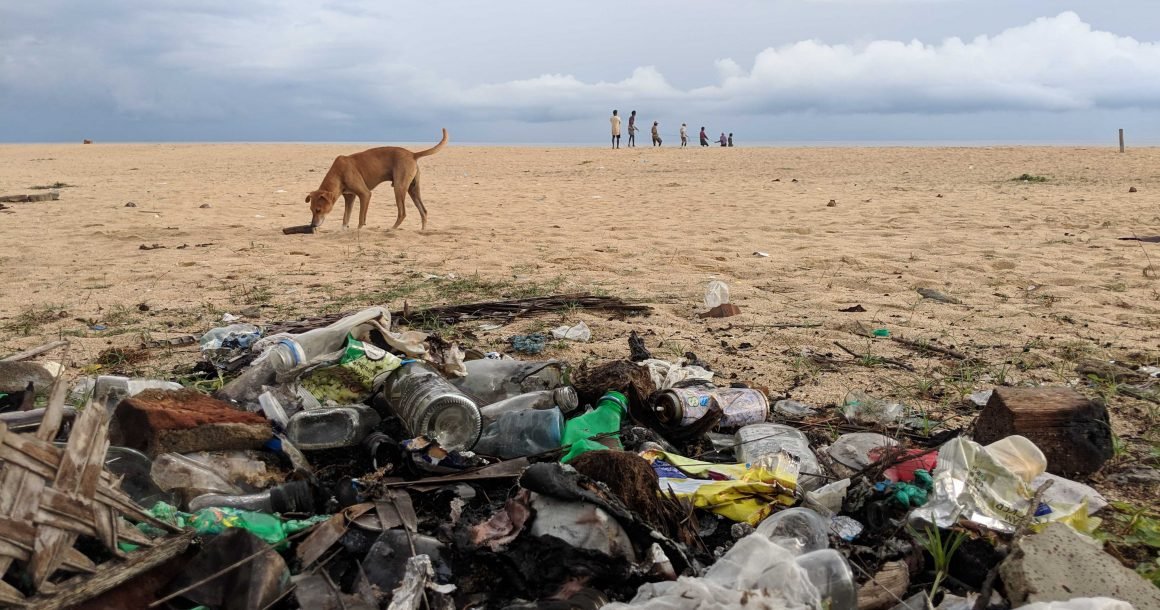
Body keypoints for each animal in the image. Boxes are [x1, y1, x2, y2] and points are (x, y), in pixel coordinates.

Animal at [306, 129, 445, 231]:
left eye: (318, 209)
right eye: (311, 210)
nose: (312, 225)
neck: (338, 173)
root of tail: (412, 154)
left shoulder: (365, 194)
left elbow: (361, 218)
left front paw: (358, 231)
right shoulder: (350, 197)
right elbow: (345, 218)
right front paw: (343, 230)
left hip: (399, 188)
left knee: (402, 213)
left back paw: (392, 229)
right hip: (413, 189)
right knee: (423, 211)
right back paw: (423, 230)